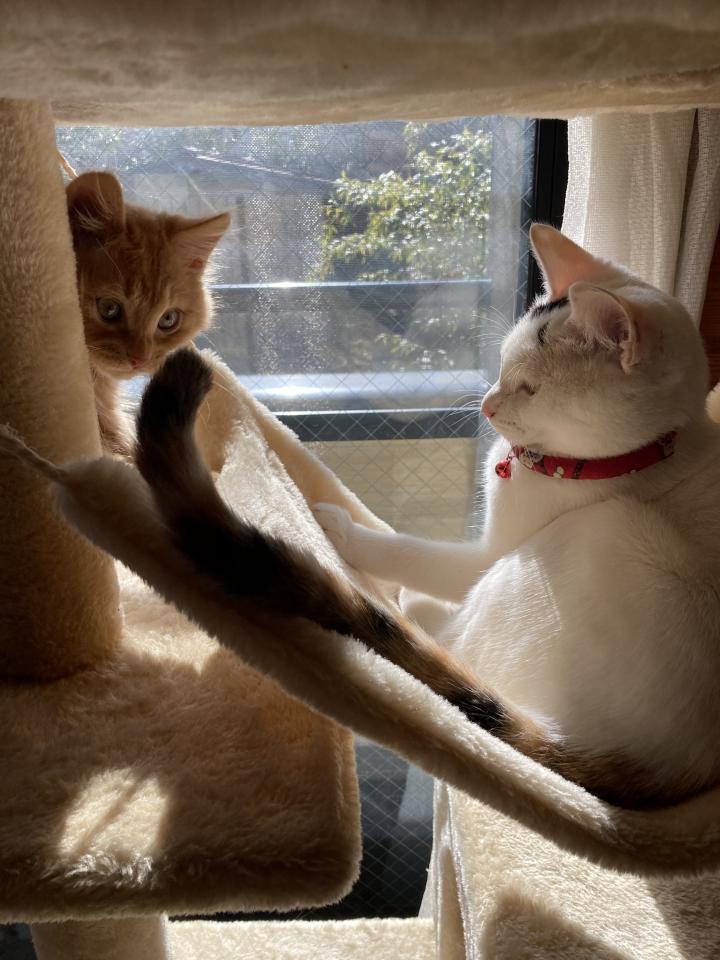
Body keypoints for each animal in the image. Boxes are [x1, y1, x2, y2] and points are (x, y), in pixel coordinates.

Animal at [132, 224, 720, 809]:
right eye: (501, 368)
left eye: (530, 388)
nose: (486, 405)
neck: (633, 458)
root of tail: (656, 773)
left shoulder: (488, 554)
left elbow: (416, 555)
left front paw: (344, 530)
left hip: (585, 539)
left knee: (455, 649)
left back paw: (416, 608)